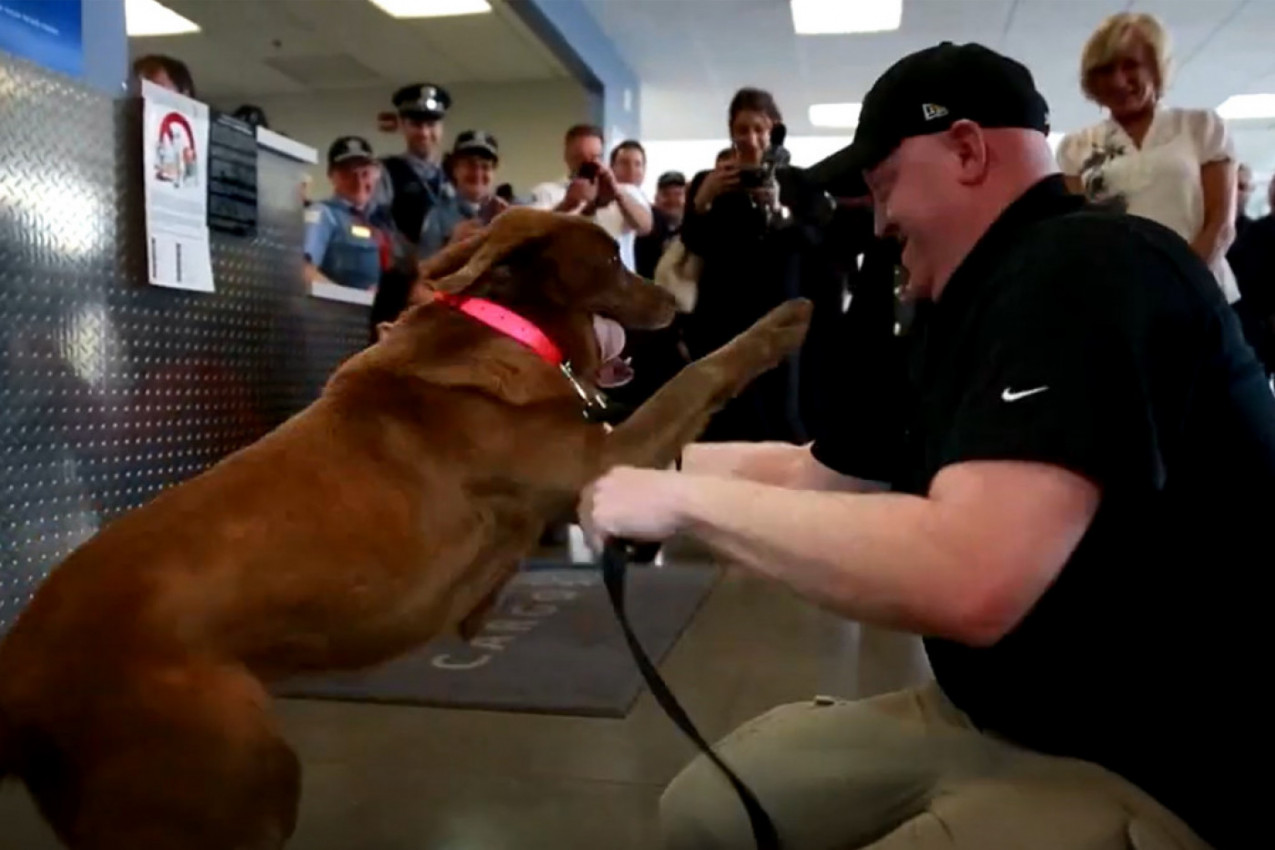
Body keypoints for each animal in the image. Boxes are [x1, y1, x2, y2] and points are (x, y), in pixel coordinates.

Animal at [0, 207, 810, 850]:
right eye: (612, 258)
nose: (674, 302)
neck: (509, 333)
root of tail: (21, 670)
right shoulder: (612, 454)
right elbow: (699, 375)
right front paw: (781, 322)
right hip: (234, 778)